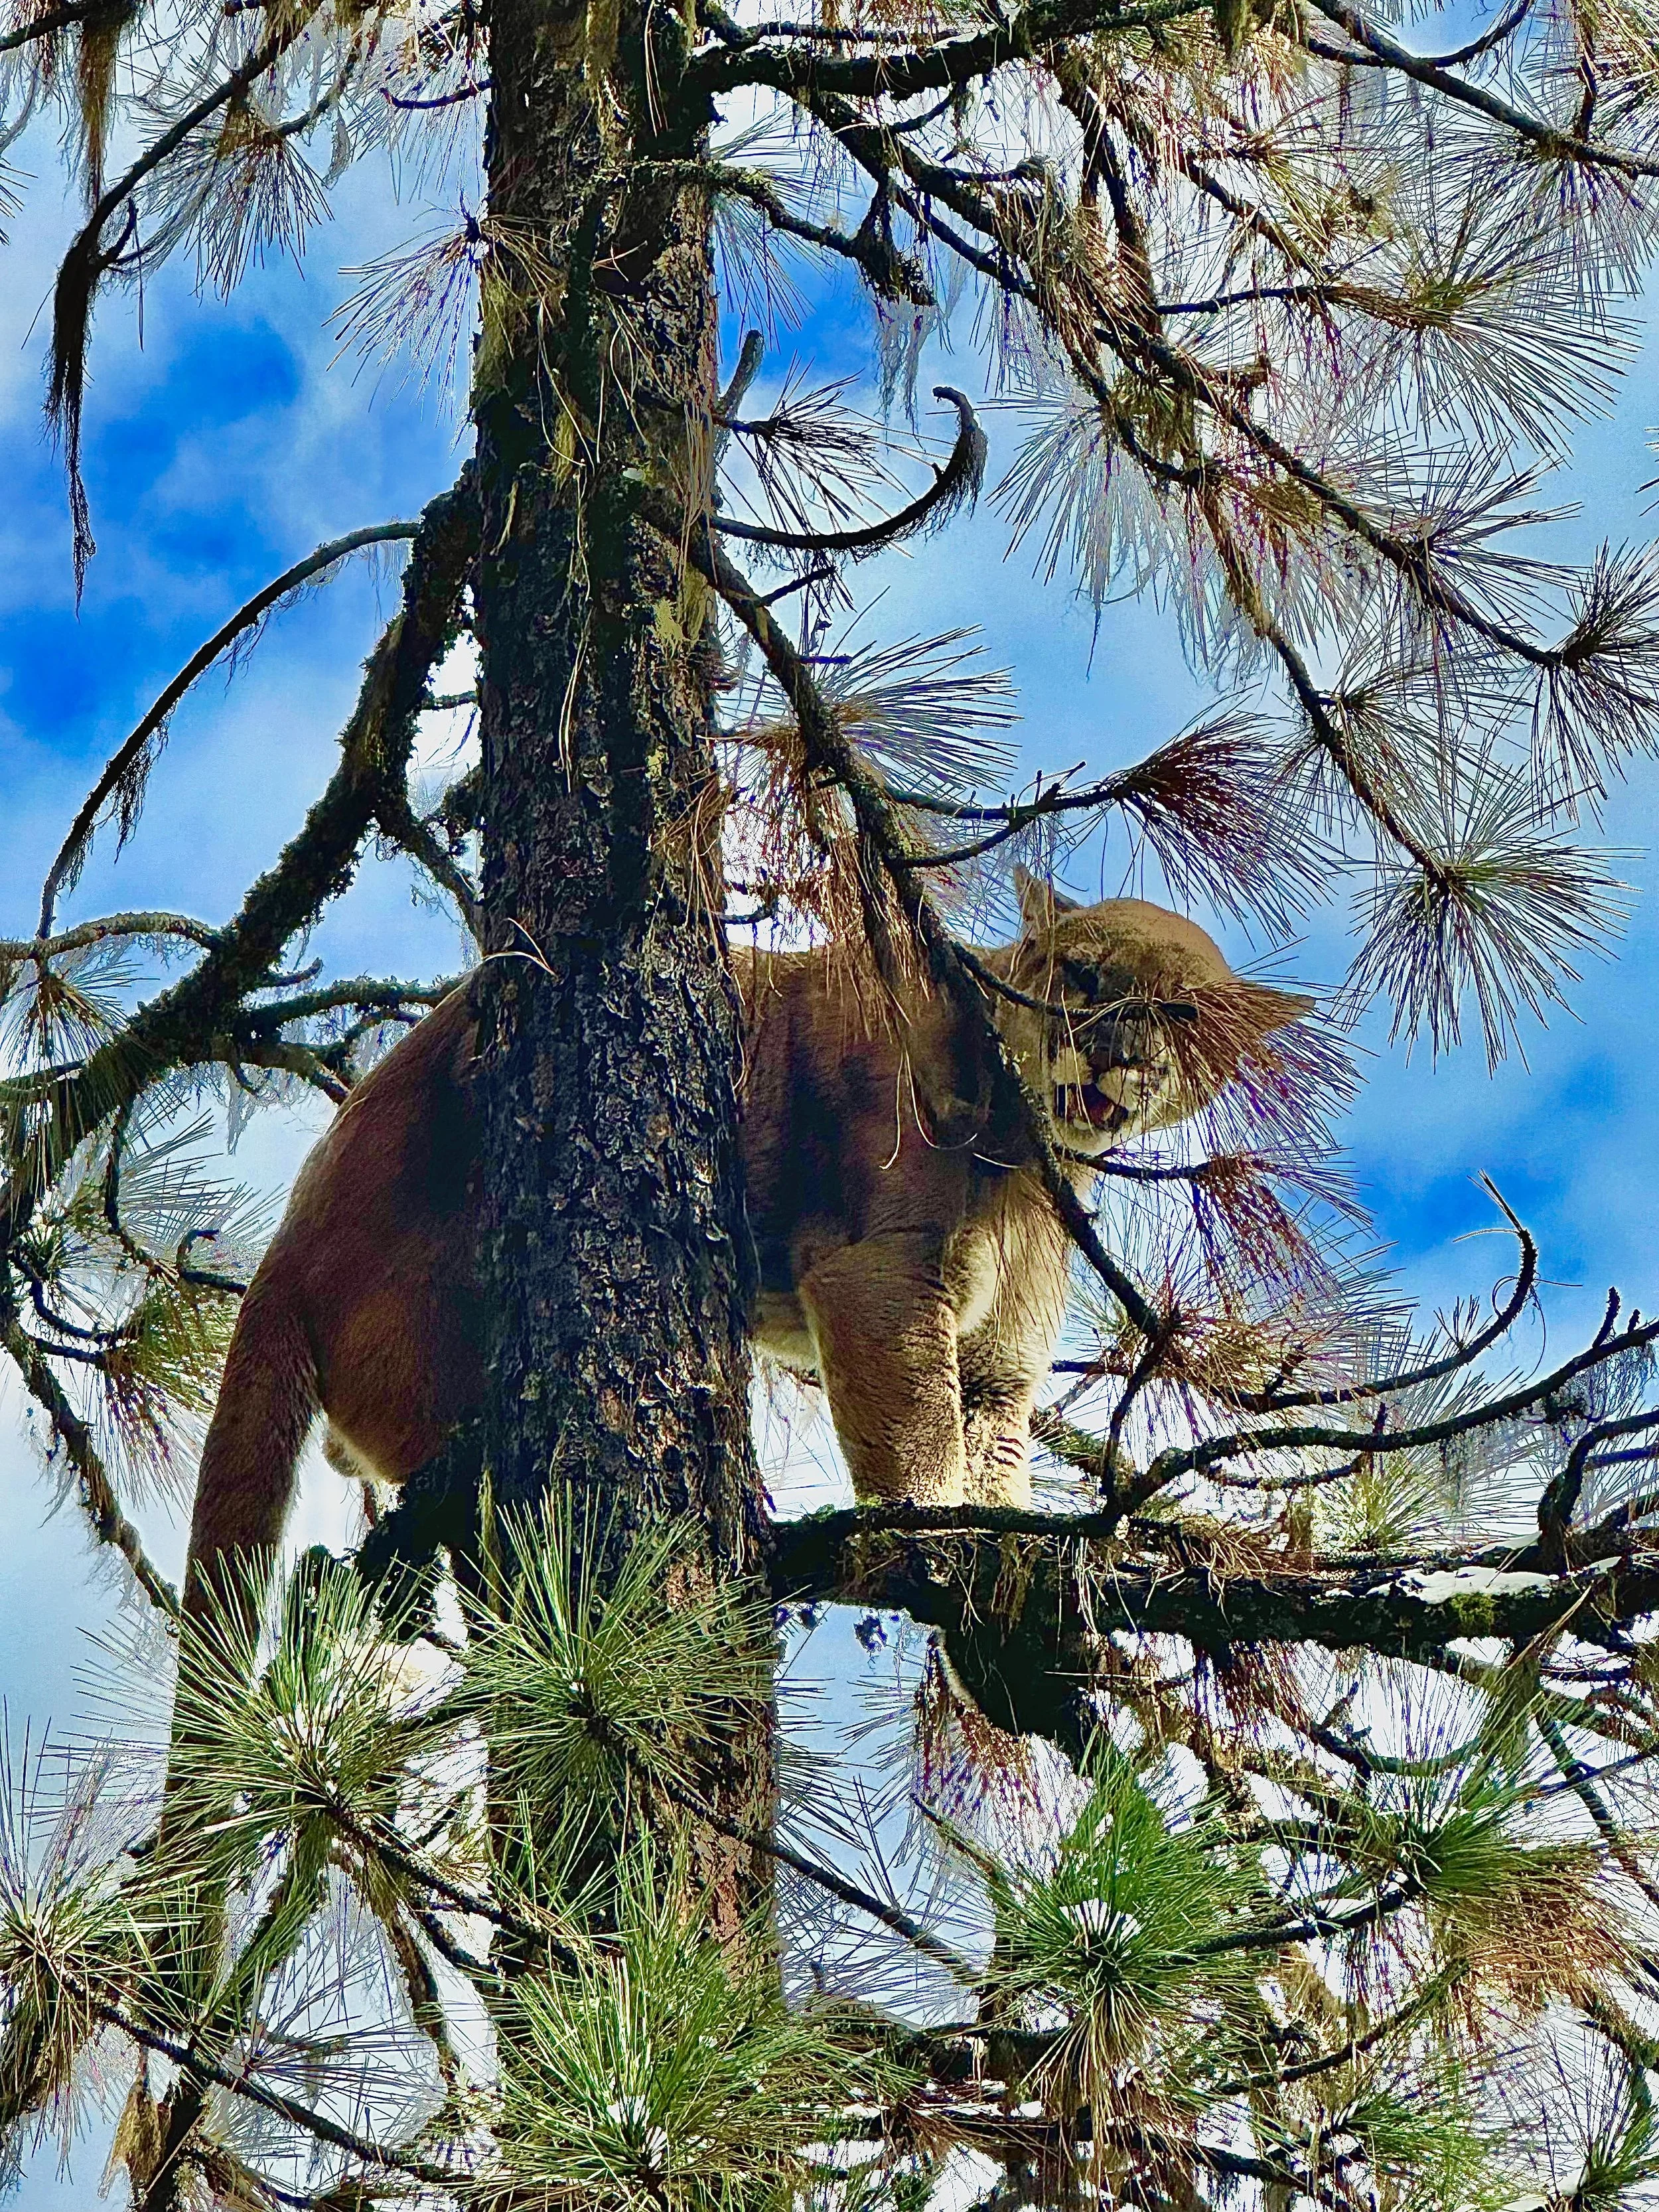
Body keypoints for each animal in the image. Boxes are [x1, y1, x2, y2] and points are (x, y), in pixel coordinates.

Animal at [179, 871, 1308, 1610]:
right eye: (1080, 976)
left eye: (1180, 1013)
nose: (1116, 1052)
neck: (1036, 1167)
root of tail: (284, 1248)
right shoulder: (881, 1277)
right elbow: (920, 1437)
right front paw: (932, 1534)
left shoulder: (998, 1360)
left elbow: (992, 1454)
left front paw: (1008, 1563)